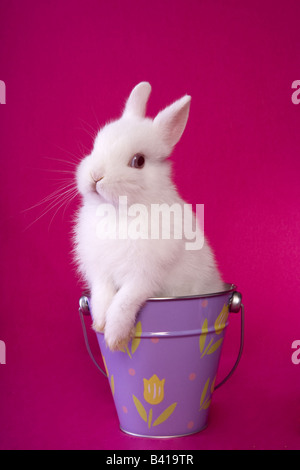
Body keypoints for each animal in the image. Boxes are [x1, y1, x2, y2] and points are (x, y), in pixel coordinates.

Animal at [73, 82, 223, 350]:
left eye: (138, 161)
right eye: (95, 146)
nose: (95, 176)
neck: (119, 212)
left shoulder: (145, 276)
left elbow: (124, 301)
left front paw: (113, 337)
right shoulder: (99, 272)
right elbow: (102, 295)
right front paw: (99, 322)